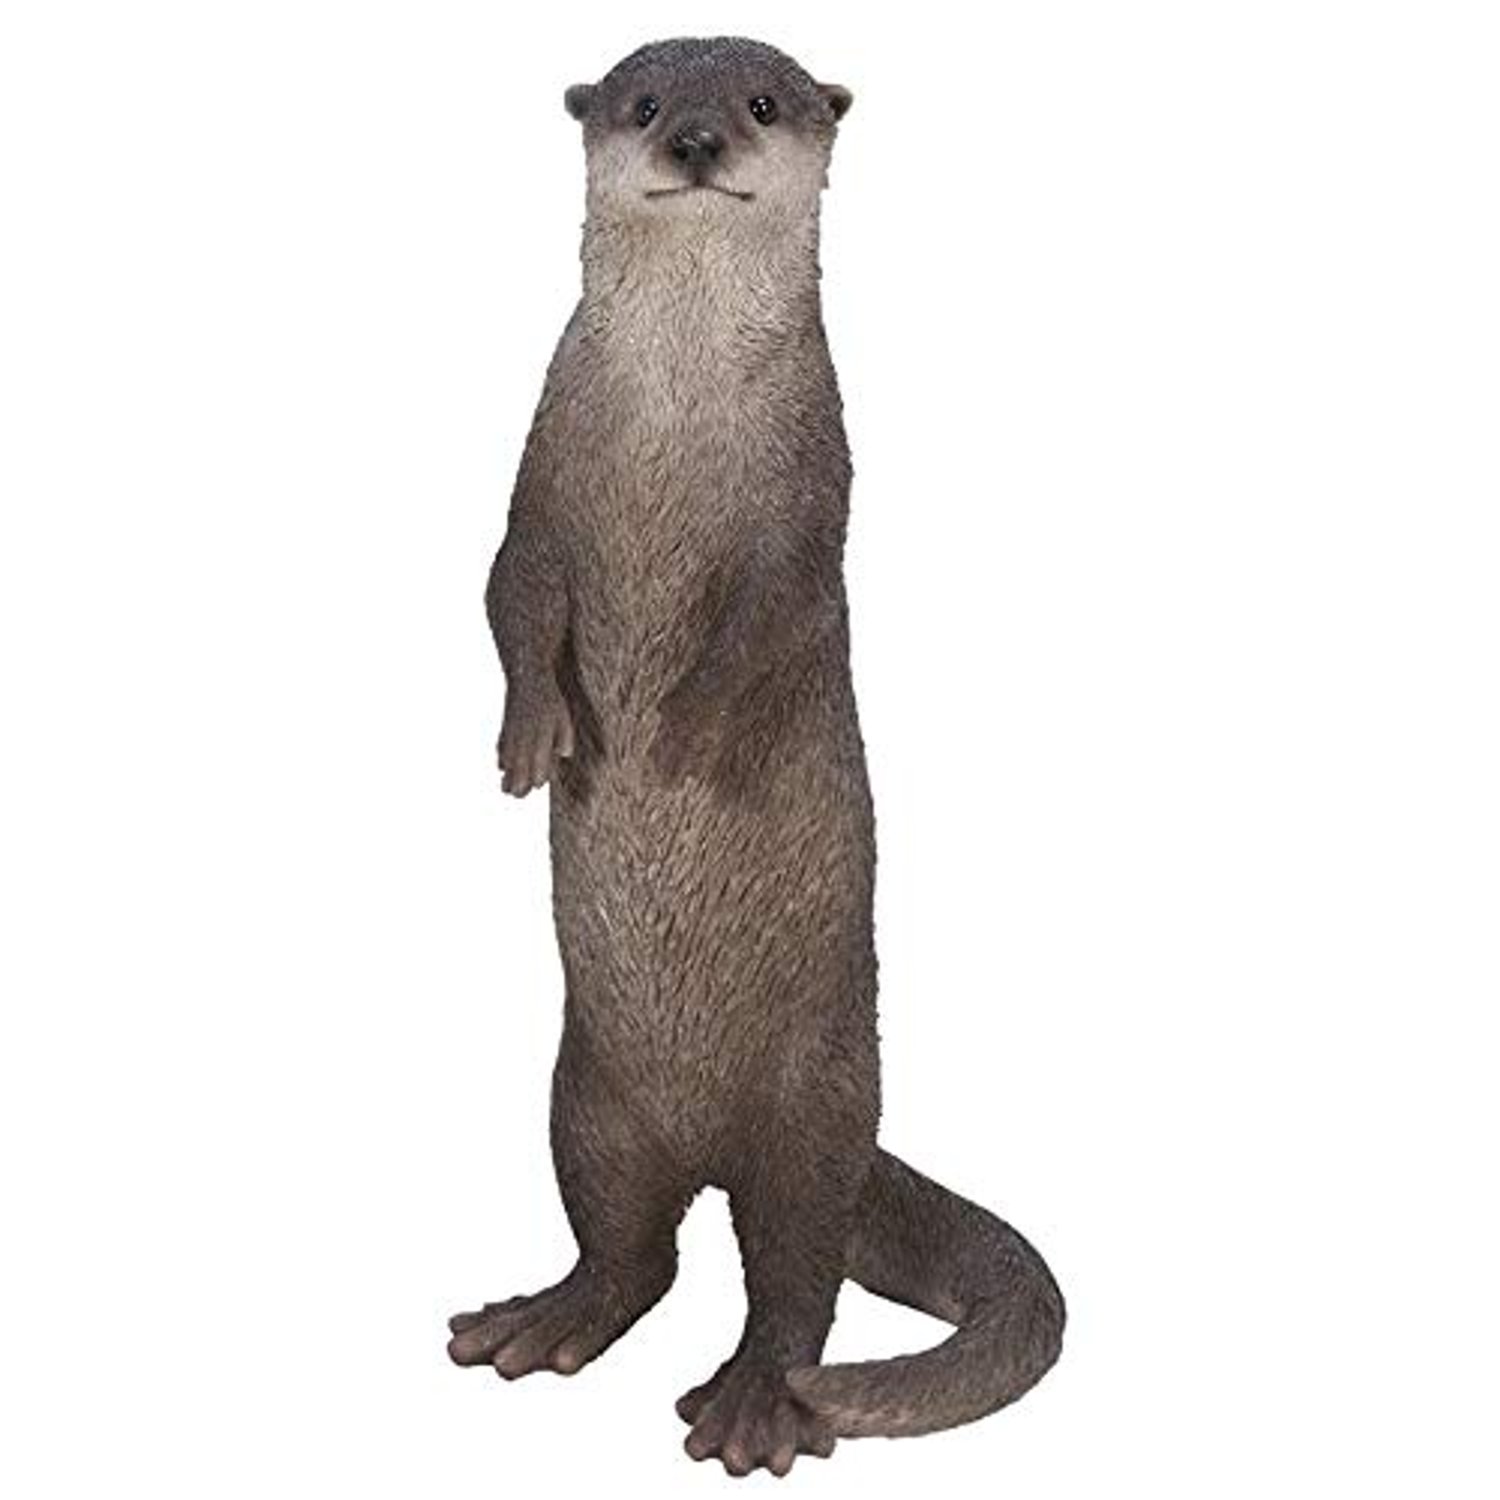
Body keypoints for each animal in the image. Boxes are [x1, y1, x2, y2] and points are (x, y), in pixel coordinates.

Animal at [446, 36, 1064, 1477]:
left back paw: (755, 1402)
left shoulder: (809, 510)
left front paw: (676, 739)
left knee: (794, 1276)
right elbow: (508, 596)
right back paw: (549, 1319)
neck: (672, 428)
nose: (696, 140)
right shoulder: (538, 482)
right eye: (643, 102)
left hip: (812, 1117)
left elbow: (766, 629)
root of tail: (715, 1139)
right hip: (585, 1104)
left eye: (765, 103)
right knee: (632, 1249)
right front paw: (535, 737)